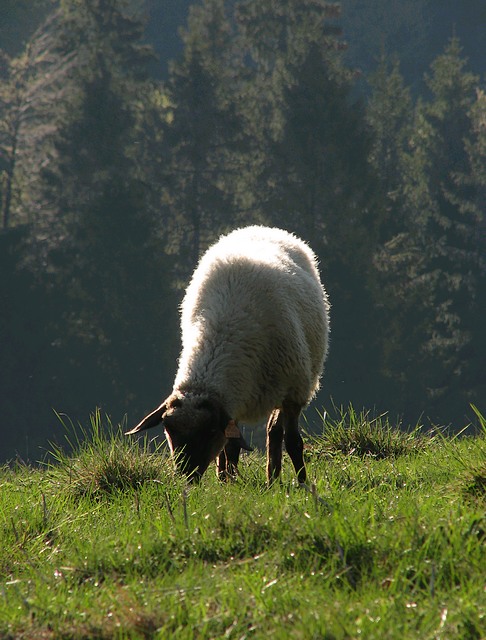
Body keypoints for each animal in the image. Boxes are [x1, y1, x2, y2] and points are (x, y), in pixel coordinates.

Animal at [125, 224, 330, 480]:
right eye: (168, 429)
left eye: (211, 430)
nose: (187, 475)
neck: (223, 333)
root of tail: (261, 227)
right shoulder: (235, 396)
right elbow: (231, 446)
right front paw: (228, 480)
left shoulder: (294, 392)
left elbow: (293, 442)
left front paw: (302, 482)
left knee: (275, 431)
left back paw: (273, 478)